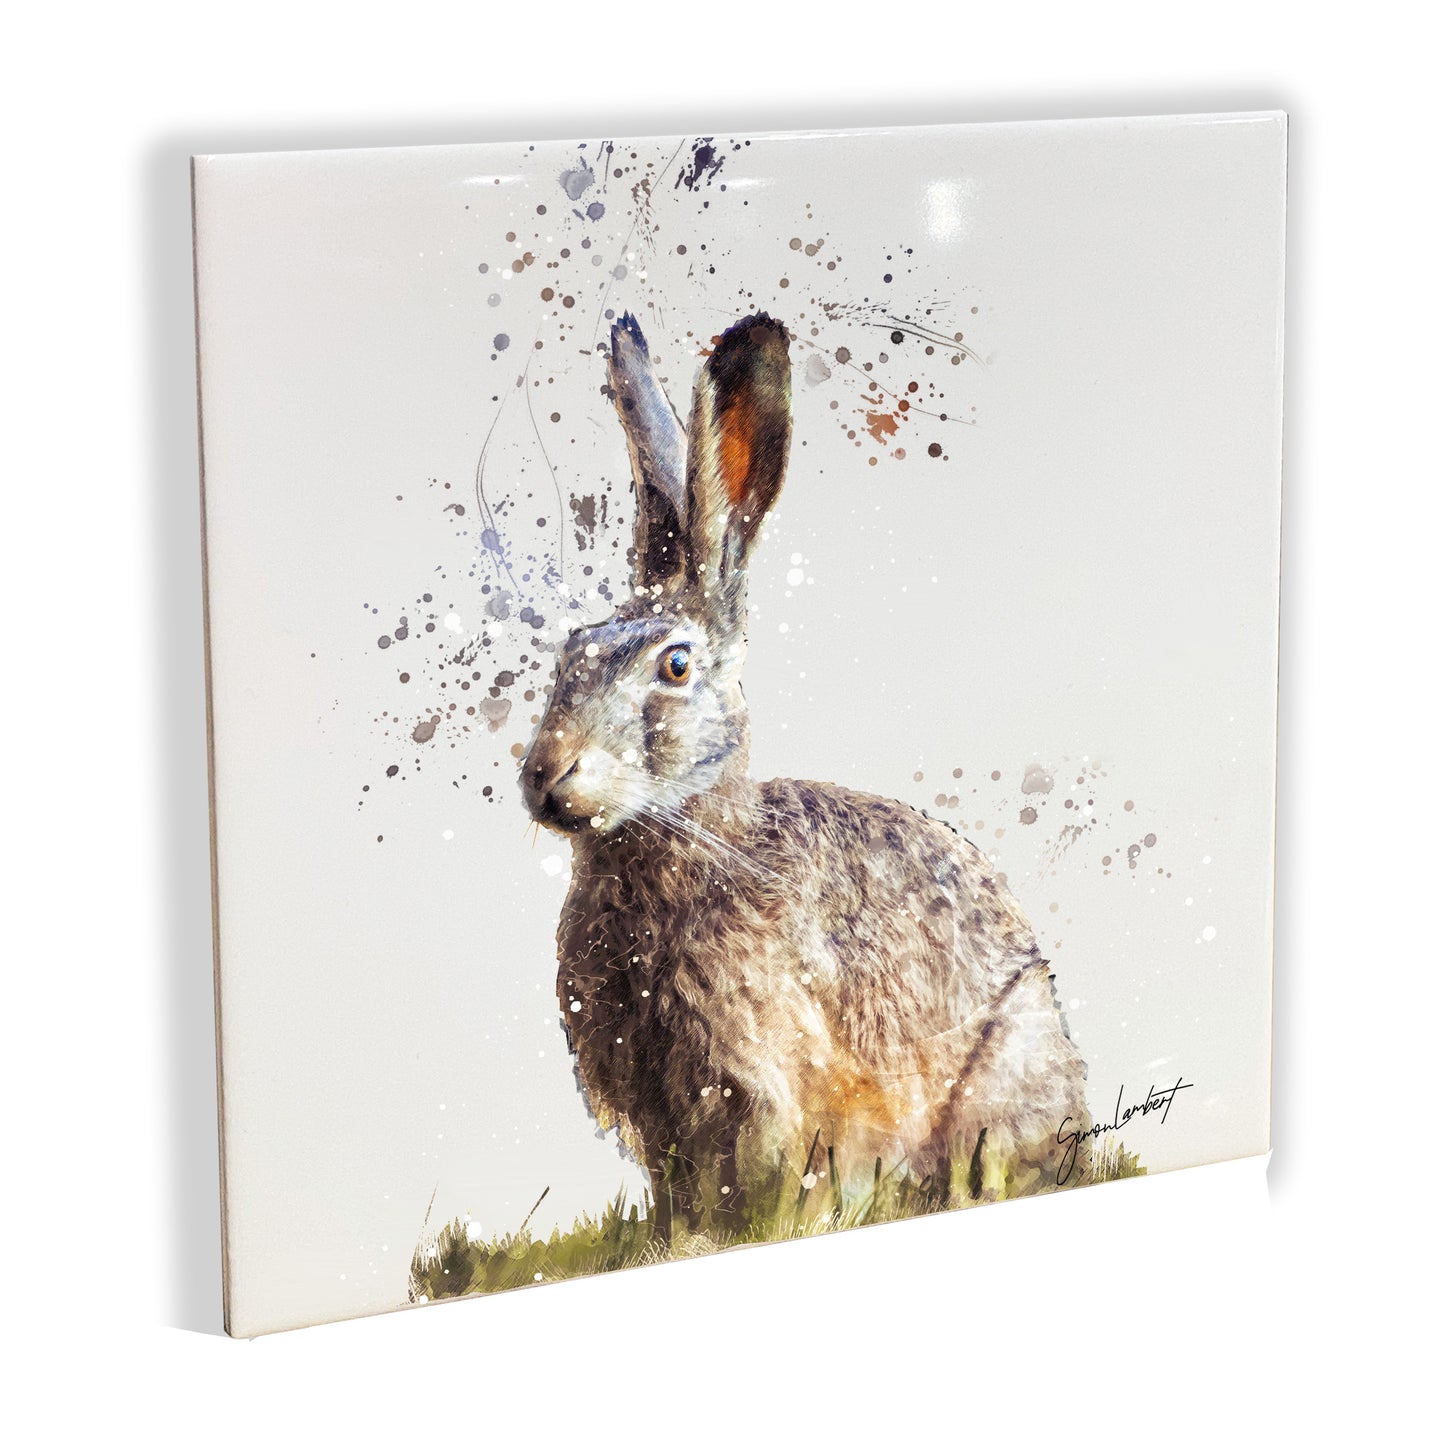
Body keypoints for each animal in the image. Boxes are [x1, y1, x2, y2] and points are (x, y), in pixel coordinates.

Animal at [520, 311, 1091, 1236]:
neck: (682, 836)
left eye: (674, 666)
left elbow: (760, 1184)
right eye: (570, 652)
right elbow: (678, 1194)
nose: (544, 774)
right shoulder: (651, 1104)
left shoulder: (756, 1080)